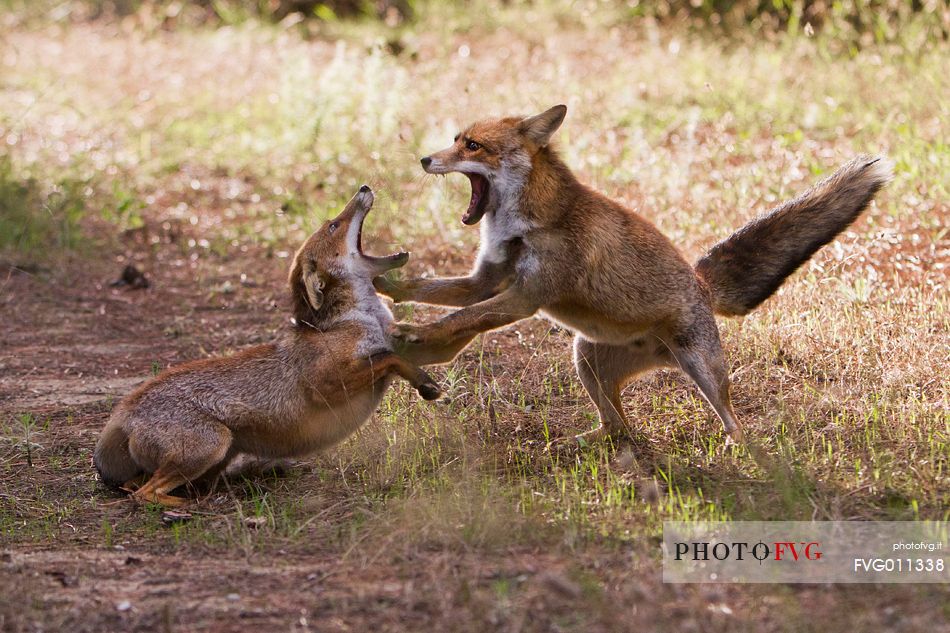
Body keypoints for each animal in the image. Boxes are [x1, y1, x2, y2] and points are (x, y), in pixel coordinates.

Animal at [95, 185, 440, 506]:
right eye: (333, 225)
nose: (364, 188)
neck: (358, 319)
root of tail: (125, 411)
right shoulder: (324, 384)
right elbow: (390, 358)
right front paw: (425, 383)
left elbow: (400, 352)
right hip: (212, 445)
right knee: (143, 494)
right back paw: (189, 505)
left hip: (214, 456)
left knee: (132, 486)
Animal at [378, 105, 892, 440]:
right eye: (455, 139)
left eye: (473, 145)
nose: (425, 159)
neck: (521, 223)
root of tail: (701, 284)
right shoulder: (484, 281)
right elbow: (430, 290)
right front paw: (385, 283)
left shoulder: (526, 296)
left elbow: (457, 318)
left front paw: (416, 333)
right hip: (585, 359)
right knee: (617, 427)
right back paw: (584, 445)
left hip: (703, 373)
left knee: (732, 421)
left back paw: (743, 452)